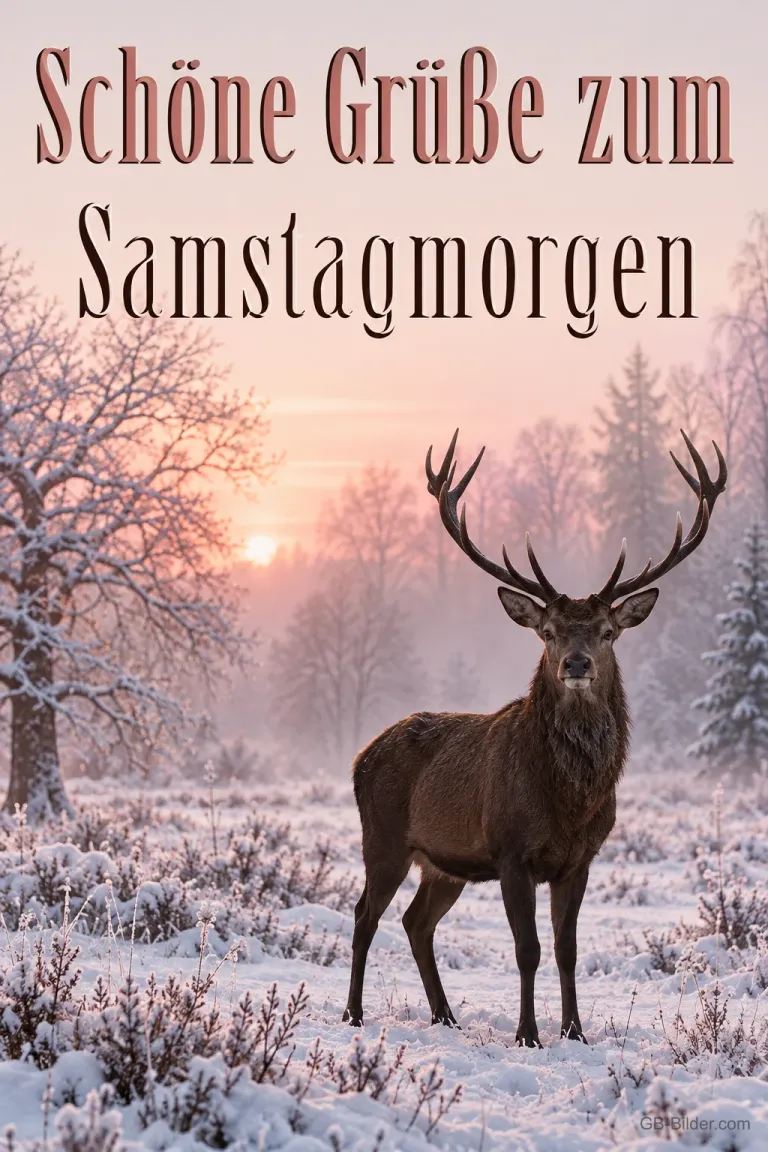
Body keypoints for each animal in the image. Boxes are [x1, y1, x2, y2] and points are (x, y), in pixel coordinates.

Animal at [342, 429, 727, 1046]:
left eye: (607, 631)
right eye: (547, 631)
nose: (576, 663)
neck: (570, 800)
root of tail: (361, 756)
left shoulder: (580, 859)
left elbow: (567, 949)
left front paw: (575, 1031)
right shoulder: (510, 850)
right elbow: (528, 949)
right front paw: (528, 1034)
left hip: (443, 863)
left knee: (415, 921)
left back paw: (445, 1016)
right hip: (383, 839)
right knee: (364, 916)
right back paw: (353, 1013)